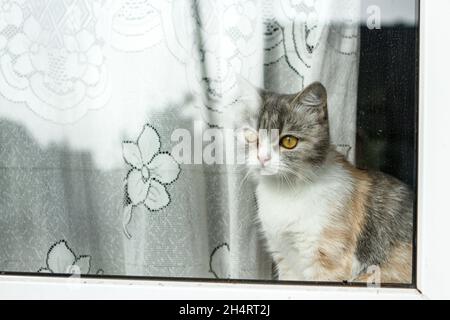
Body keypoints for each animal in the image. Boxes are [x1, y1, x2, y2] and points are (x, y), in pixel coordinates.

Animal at [239, 82, 414, 282]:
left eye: (289, 141)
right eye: (252, 136)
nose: (263, 158)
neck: (284, 191)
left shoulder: (328, 261)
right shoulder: (284, 257)